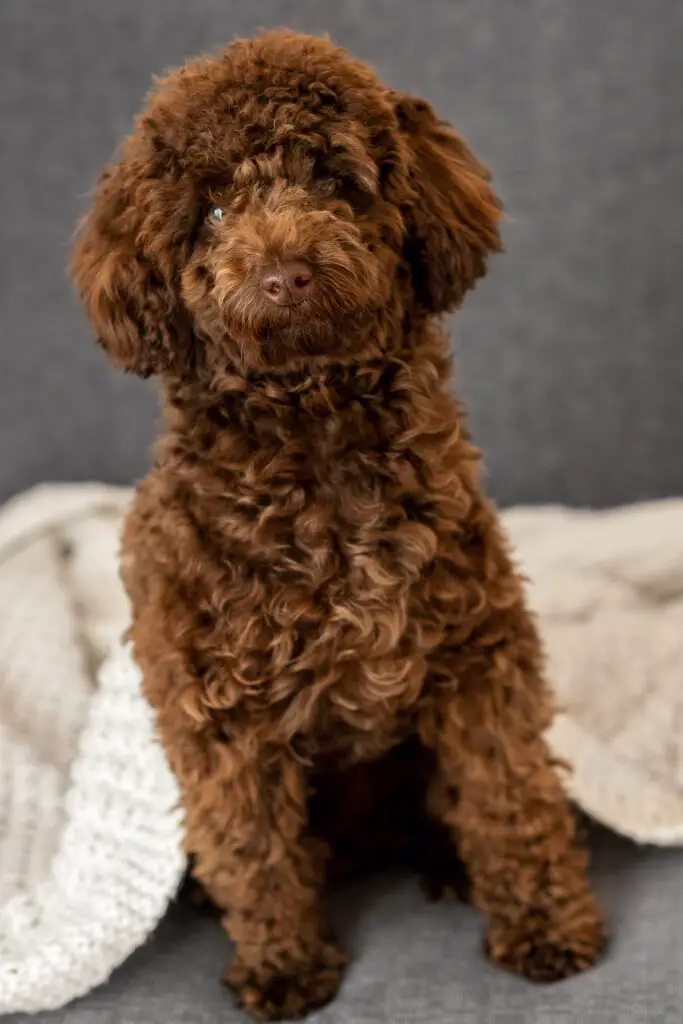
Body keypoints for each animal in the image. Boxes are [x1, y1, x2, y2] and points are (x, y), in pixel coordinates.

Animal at [72, 29, 606, 1015]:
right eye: (211, 211)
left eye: (331, 180)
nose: (284, 273)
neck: (316, 439)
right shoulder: (219, 717)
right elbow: (251, 849)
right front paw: (283, 965)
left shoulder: (479, 661)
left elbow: (509, 796)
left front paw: (545, 926)